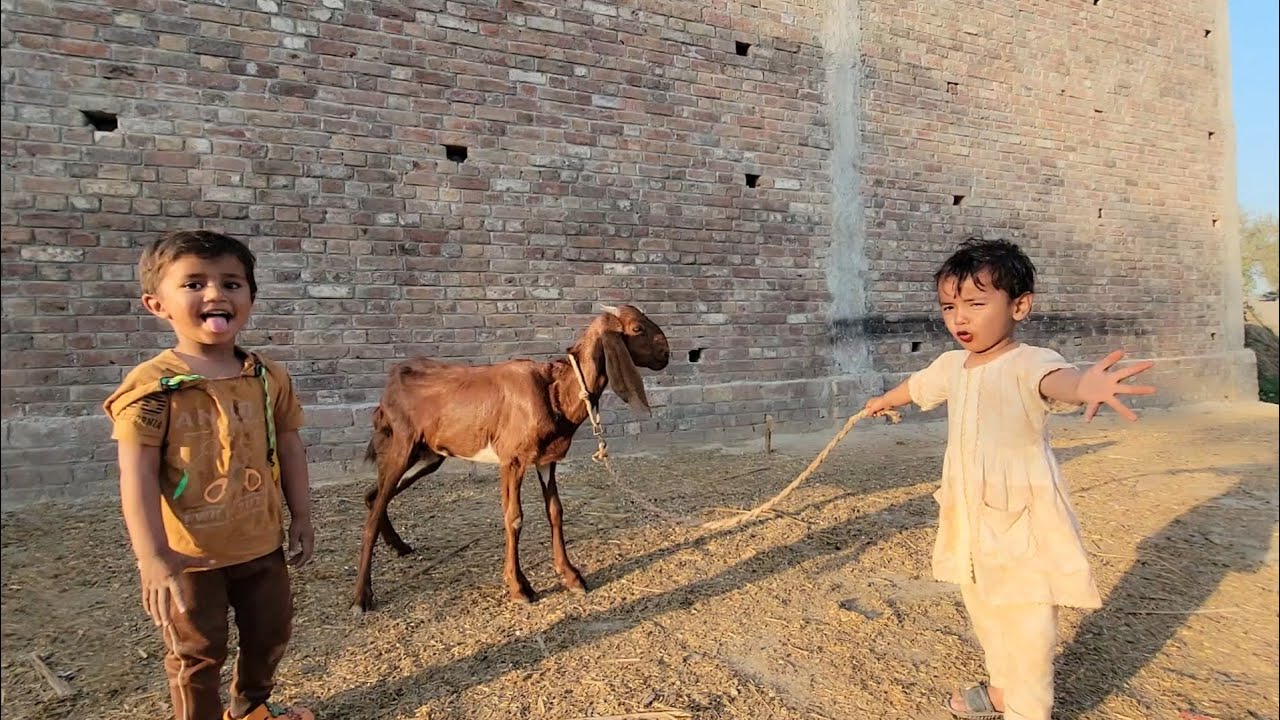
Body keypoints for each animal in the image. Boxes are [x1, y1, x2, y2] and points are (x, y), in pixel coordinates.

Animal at [352, 304, 670, 612]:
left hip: (428, 455)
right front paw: (519, 588)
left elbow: (555, 511)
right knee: (373, 511)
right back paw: (361, 598)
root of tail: (388, 390)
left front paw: (571, 576)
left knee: (374, 496)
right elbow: (514, 517)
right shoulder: (512, 459)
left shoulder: (545, 459)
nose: (666, 354)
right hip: (402, 446)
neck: (555, 391)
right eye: (637, 328)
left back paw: (399, 546)